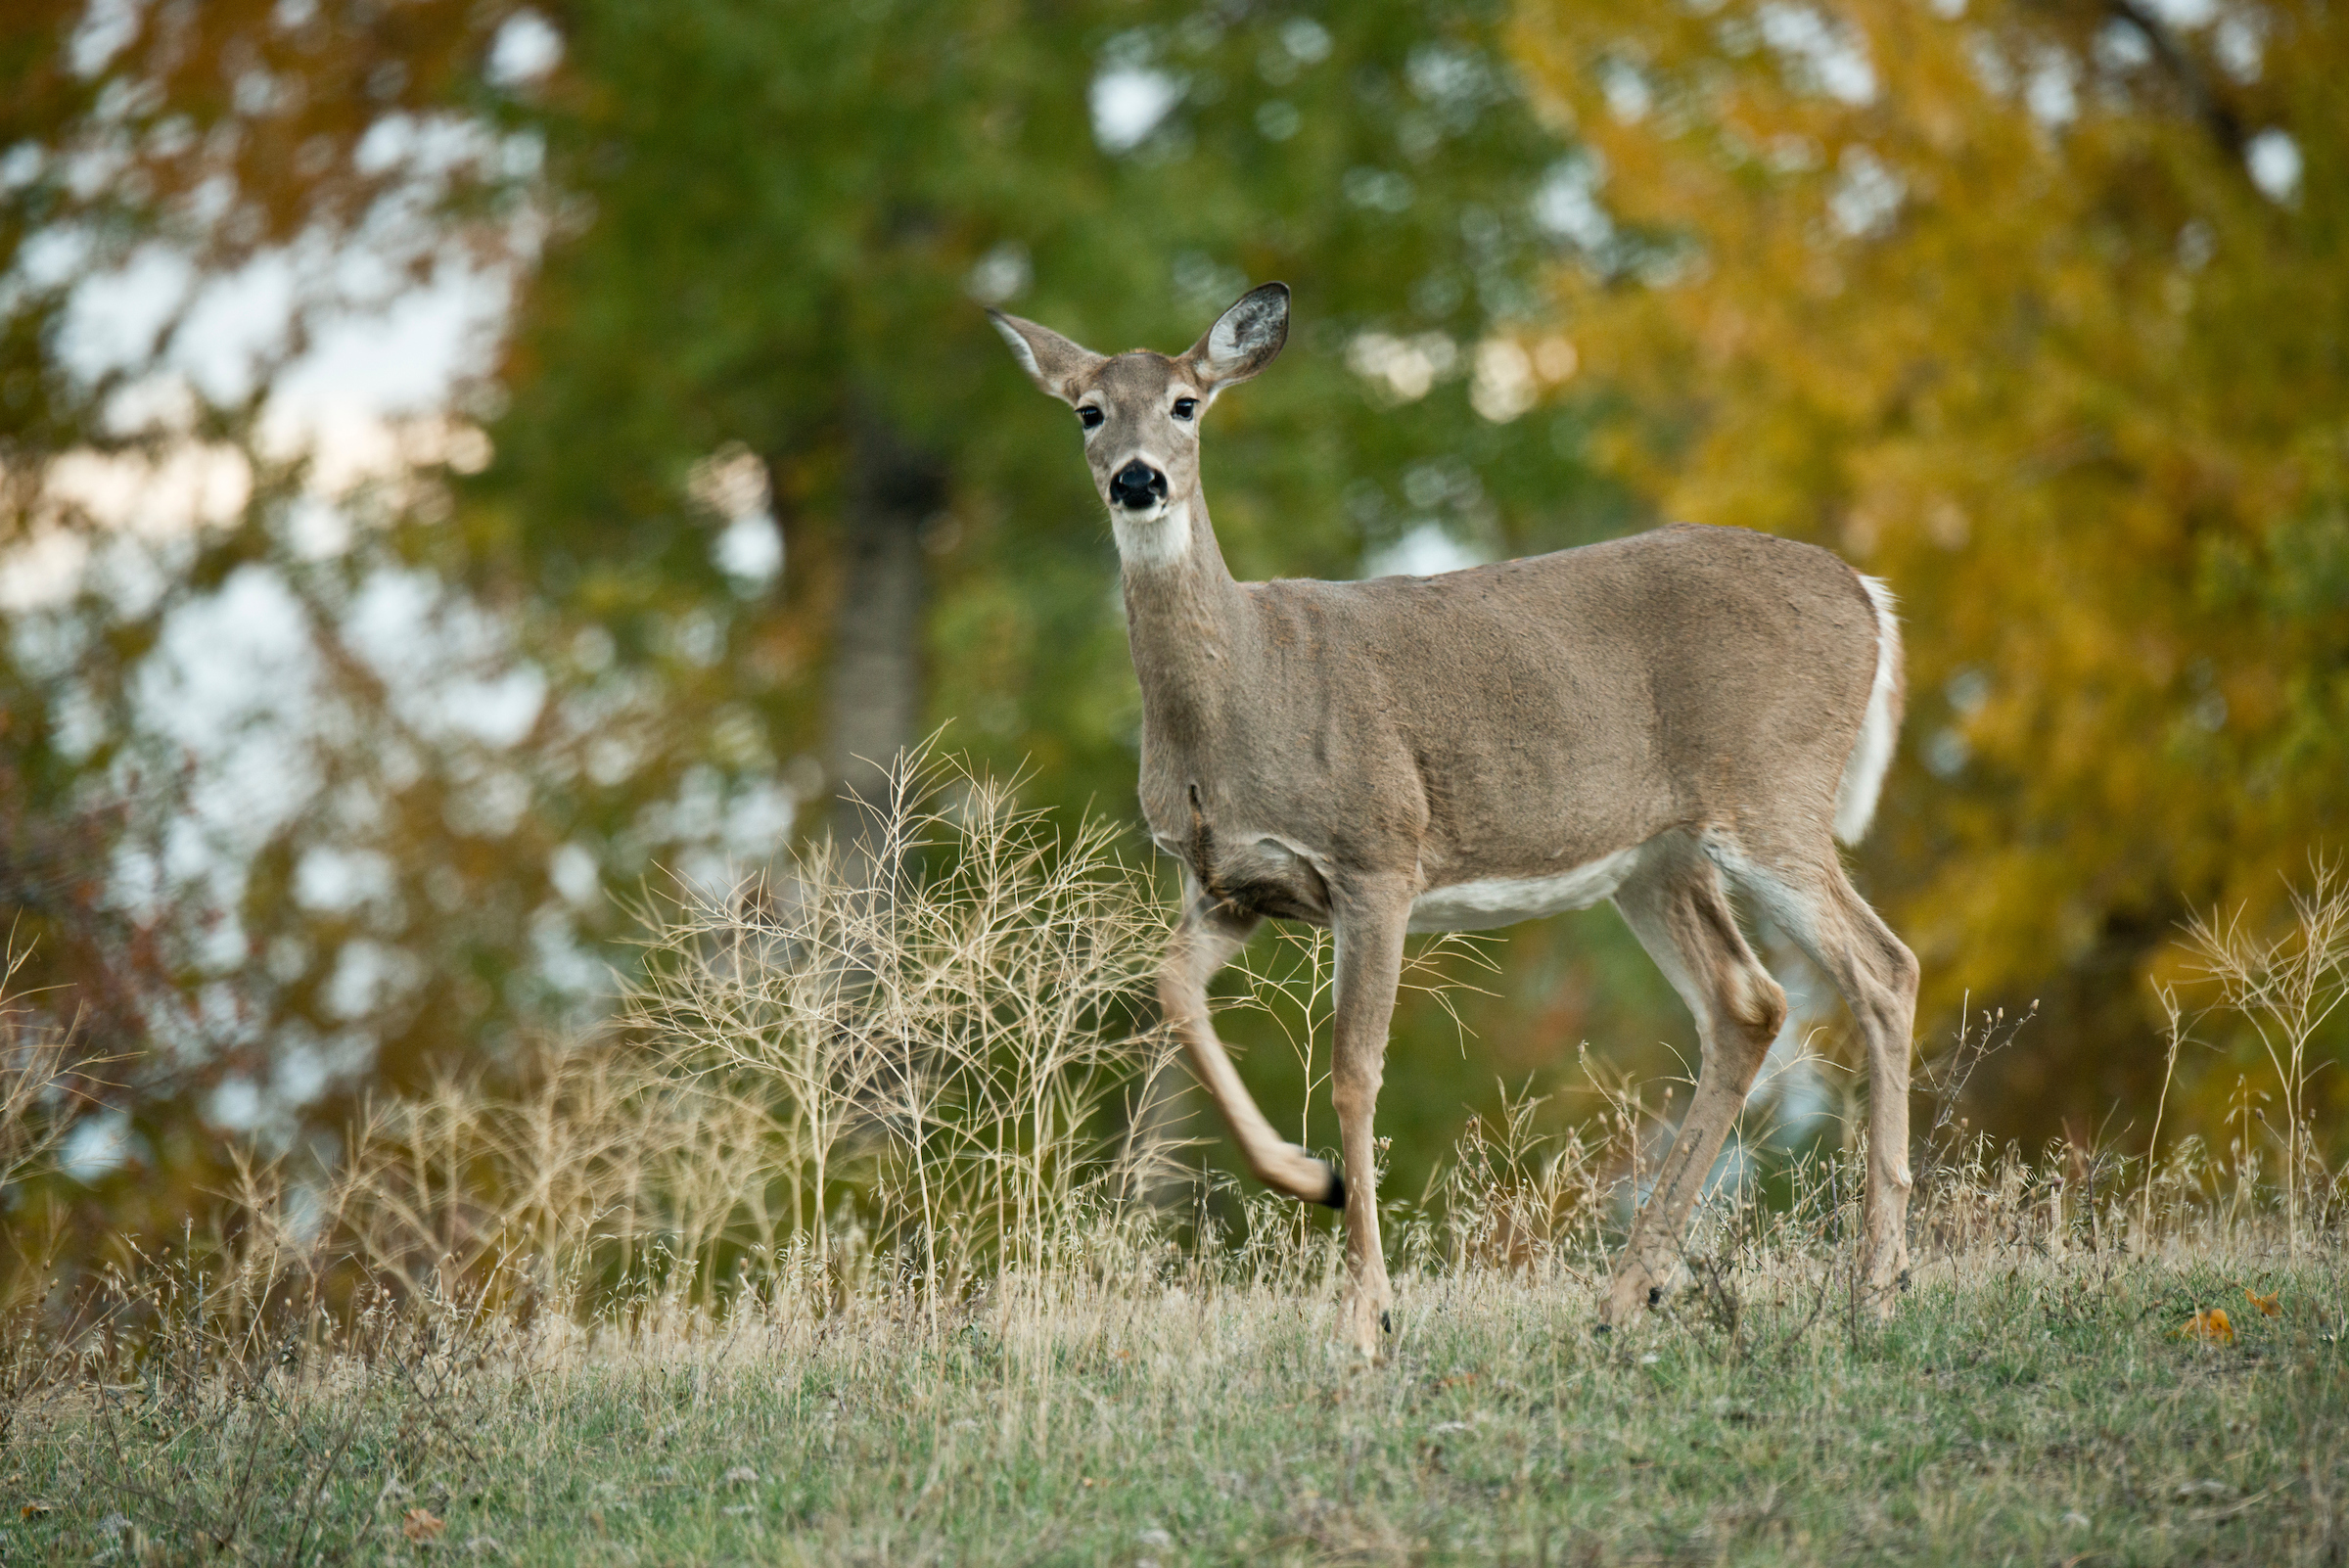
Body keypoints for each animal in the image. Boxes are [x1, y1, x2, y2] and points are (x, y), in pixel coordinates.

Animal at [990, 285, 1926, 1360]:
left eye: (1187, 404)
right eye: (1088, 411)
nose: (1138, 479)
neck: (1242, 693)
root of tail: (1870, 594)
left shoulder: (1378, 855)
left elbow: (1354, 1071)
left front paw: (1367, 1314)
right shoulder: (1228, 886)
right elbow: (1170, 990)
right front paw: (1306, 1177)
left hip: (1773, 794)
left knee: (1883, 967)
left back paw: (1877, 1289)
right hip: (1657, 857)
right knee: (1749, 1002)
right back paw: (1627, 1296)